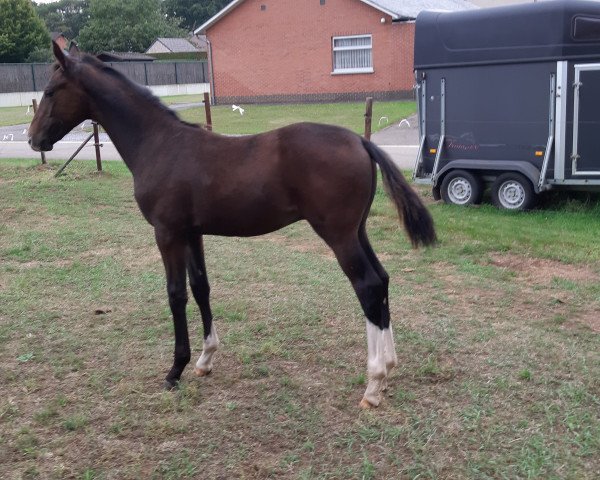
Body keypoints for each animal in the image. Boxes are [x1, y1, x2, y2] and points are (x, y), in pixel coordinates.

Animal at [29, 43, 436, 406]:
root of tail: (359, 141)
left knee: (367, 286)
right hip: (357, 231)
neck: (160, 144)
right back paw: (389, 367)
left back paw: (373, 383)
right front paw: (205, 359)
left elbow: (175, 293)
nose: (34, 139)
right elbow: (201, 287)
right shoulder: (192, 233)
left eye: (50, 91)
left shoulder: (167, 232)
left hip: (338, 236)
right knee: (382, 280)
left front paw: (175, 370)